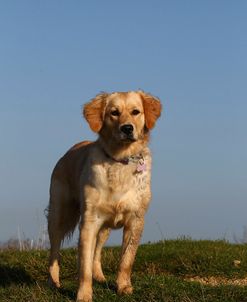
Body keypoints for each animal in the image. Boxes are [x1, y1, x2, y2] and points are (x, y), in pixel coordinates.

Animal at [47, 91, 161, 300]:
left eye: (136, 112)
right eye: (114, 113)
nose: (127, 128)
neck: (121, 160)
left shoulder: (136, 219)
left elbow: (126, 260)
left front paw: (123, 287)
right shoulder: (90, 221)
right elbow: (83, 265)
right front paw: (84, 295)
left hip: (105, 227)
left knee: (97, 251)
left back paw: (99, 276)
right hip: (59, 214)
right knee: (54, 251)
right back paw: (53, 282)